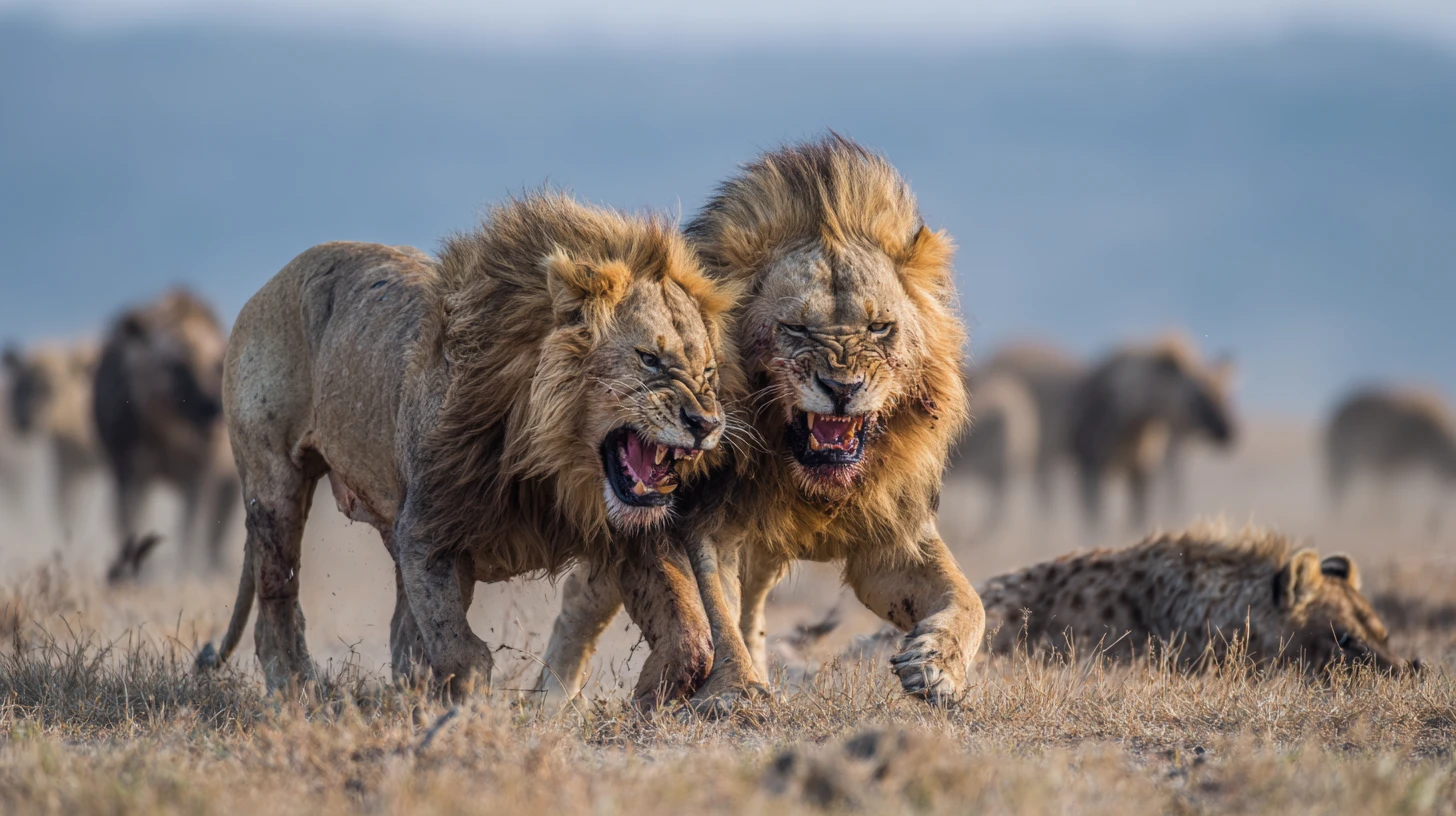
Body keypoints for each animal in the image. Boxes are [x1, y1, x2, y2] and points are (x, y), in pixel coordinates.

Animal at [197, 192, 740, 703]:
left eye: (708, 371)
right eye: (648, 359)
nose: (706, 423)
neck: (549, 465)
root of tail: (277, 278)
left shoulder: (630, 536)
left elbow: (692, 638)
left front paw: (649, 699)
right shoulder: (427, 530)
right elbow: (459, 649)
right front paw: (465, 707)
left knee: (396, 628)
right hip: (274, 484)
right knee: (276, 597)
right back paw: (294, 691)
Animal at [539, 136, 985, 706]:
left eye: (880, 327)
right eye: (795, 328)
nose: (842, 388)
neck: (804, 480)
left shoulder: (891, 540)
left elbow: (969, 599)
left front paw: (935, 665)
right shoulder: (704, 521)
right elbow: (716, 613)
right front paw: (737, 691)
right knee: (586, 596)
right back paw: (549, 700)